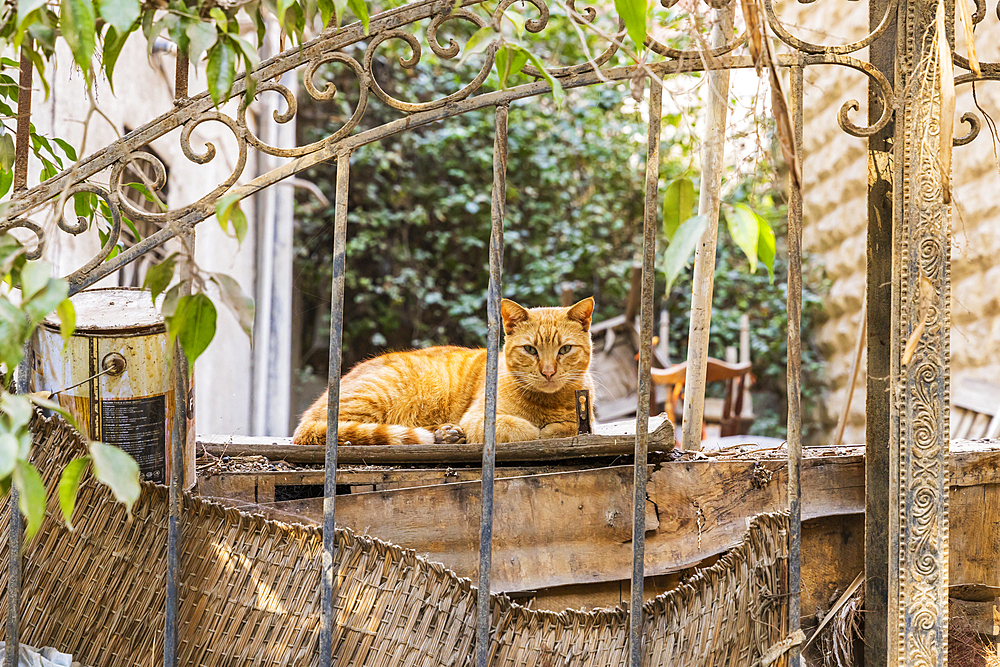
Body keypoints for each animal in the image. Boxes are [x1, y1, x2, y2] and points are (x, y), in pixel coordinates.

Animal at [292, 296, 596, 444]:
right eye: (531, 350)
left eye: (565, 350)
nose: (548, 372)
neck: (546, 403)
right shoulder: (478, 418)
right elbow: (520, 428)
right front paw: (535, 429)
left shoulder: (584, 420)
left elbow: (568, 426)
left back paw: (446, 433)